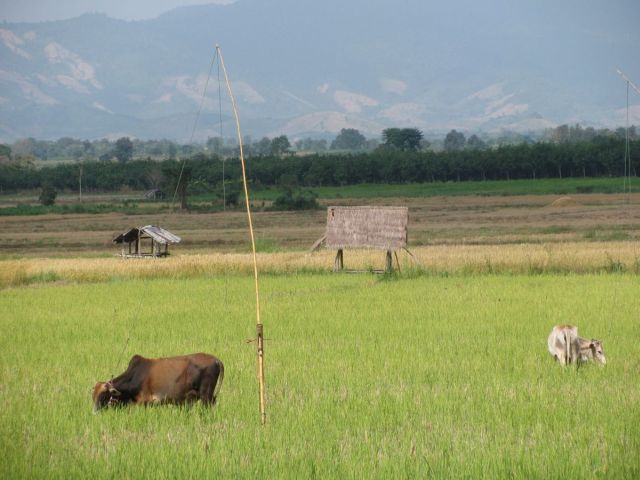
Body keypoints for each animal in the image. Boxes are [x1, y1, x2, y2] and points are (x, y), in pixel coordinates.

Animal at [94, 352, 224, 412]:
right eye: (93, 397)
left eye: (103, 395)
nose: (95, 412)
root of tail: (216, 360)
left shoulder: (145, 401)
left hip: (206, 397)